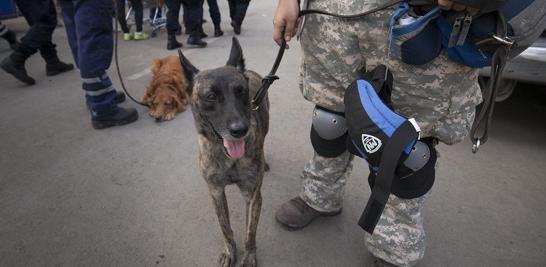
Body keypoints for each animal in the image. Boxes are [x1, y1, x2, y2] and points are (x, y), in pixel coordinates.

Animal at [177, 38, 268, 267]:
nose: (240, 130)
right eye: (211, 96)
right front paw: (229, 252)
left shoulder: (252, 196)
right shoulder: (216, 192)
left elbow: (250, 232)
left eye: (241, 91)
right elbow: (225, 229)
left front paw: (249, 256)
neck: (228, 159)